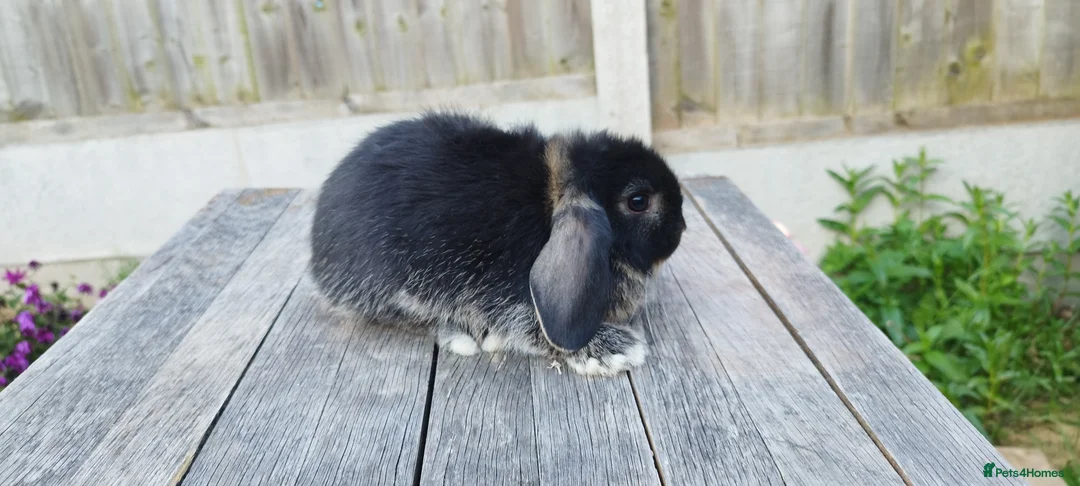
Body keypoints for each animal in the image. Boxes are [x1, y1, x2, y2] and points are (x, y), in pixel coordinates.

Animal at [308, 110, 686, 377]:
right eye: (638, 201)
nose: (682, 227)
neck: (549, 203)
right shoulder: (504, 296)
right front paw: (613, 351)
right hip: (388, 289)